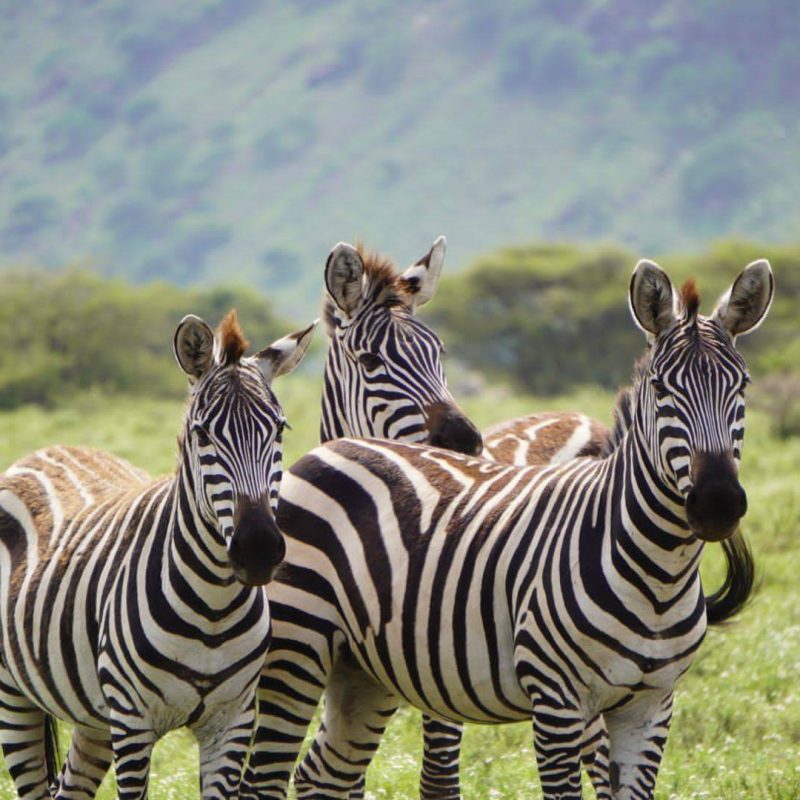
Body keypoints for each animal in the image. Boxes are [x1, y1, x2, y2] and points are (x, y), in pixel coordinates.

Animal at [0, 310, 315, 800]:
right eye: (202, 434)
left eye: (280, 429)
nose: (259, 549)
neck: (214, 609)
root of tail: (47, 449)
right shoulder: (133, 722)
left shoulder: (233, 722)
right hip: (13, 697)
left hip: (94, 718)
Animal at [240, 258, 772, 800]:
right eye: (662, 389)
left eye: (743, 386)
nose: (717, 502)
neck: (658, 571)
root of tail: (340, 446)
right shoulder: (552, 699)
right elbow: (448, 778)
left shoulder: (650, 706)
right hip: (299, 651)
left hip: (361, 669)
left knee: (324, 772)